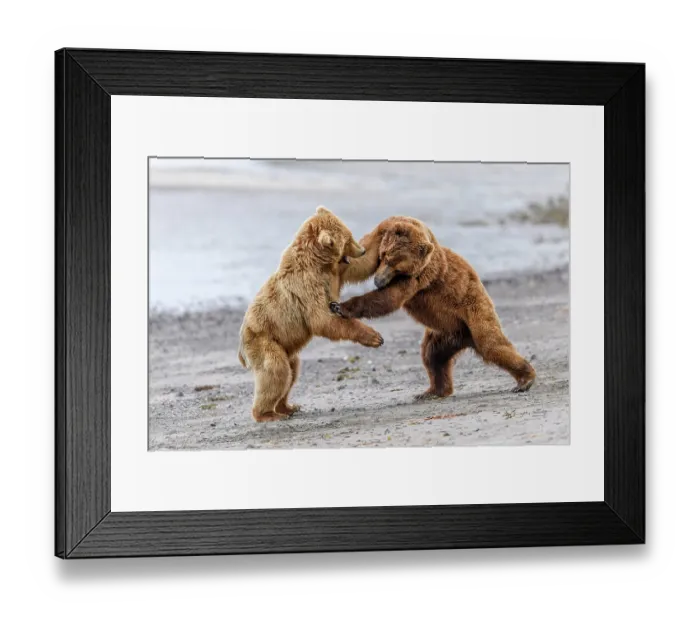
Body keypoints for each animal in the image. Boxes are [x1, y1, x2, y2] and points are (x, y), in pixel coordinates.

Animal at [238, 206, 384, 422]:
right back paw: (267, 414)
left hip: (286, 347)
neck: (317, 262)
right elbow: (323, 320)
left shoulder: (335, 272)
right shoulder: (307, 287)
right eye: (348, 239)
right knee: (276, 371)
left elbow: (359, 267)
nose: (361, 249)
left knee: (292, 371)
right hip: (263, 341)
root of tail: (241, 346)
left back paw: (288, 407)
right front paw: (374, 337)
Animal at [331, 216, 536, 399]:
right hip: (446, 333)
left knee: (491, 344)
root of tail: (466, 338)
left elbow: (389, 298)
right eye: (384, 257)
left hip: (474, 309)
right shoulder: (380, 235)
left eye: (398, 268)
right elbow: (362, 258)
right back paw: (433, 391)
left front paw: (341, 306)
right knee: (433, 356)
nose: (379, 281)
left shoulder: (421, 275)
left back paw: (525, 379)